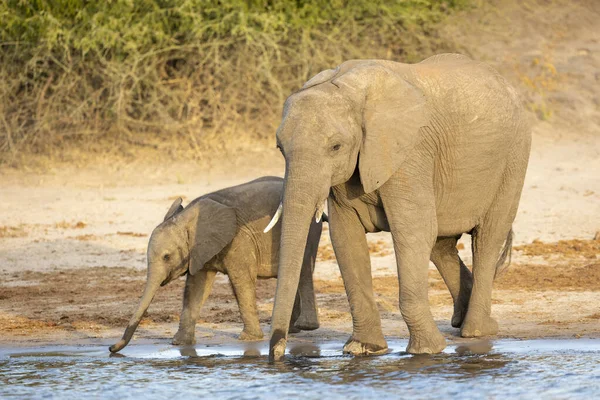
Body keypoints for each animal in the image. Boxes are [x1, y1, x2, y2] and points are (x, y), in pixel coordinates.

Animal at [109, 177, 324, 352]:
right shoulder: (199, 250)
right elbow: (196, 289)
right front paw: (179, 343)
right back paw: (293, 329)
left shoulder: (239, 240)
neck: (187, 218)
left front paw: (249, 339)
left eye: (166, 257)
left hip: (311, 231)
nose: (111, 348)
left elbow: (241, 282)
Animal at [266, 53, 528, 360]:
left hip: (513, 158)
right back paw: (463, 321)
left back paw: (477, 330)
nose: (277, 353)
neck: (348, 90)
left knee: (487, 238)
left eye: (336, 147)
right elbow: (345, 239)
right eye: (280, 148)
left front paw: (426, 351)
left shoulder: (410, 153)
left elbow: (412, 231)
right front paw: (363, 349)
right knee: (441, 245)